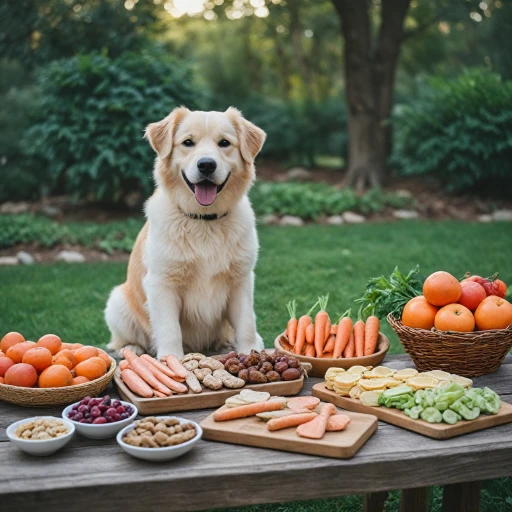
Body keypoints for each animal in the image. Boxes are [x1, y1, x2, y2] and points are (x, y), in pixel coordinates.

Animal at [102, 106, 266, 358]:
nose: (206, 165)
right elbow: (170, 330)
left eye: (224, 143)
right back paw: (131, 348)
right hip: (117, 302)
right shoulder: (162, 283)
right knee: (122, 339)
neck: (204, 221)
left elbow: (247, 323)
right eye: (188, 142)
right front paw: (172, 360)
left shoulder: (241, 279)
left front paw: (250, 354)